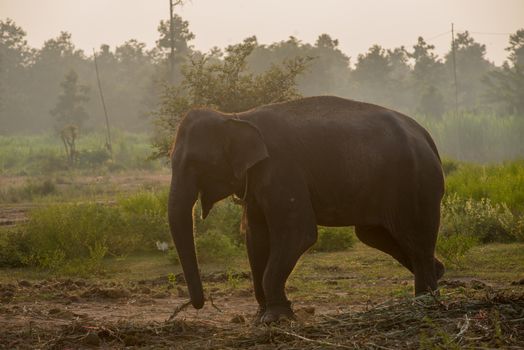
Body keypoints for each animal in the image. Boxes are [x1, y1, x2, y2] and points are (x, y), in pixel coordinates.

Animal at [169, 95, 446, 322]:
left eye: (194, 162)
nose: (198, 304)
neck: (236, 116)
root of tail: (426, 136)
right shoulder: (257, 181)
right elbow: (256, 239)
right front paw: (261, 317)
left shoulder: (281, 169)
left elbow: (298, 233)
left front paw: (276, 318)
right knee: (374, 234)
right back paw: (437, 273)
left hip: (415, 182)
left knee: (415, 237)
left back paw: (425, 302)